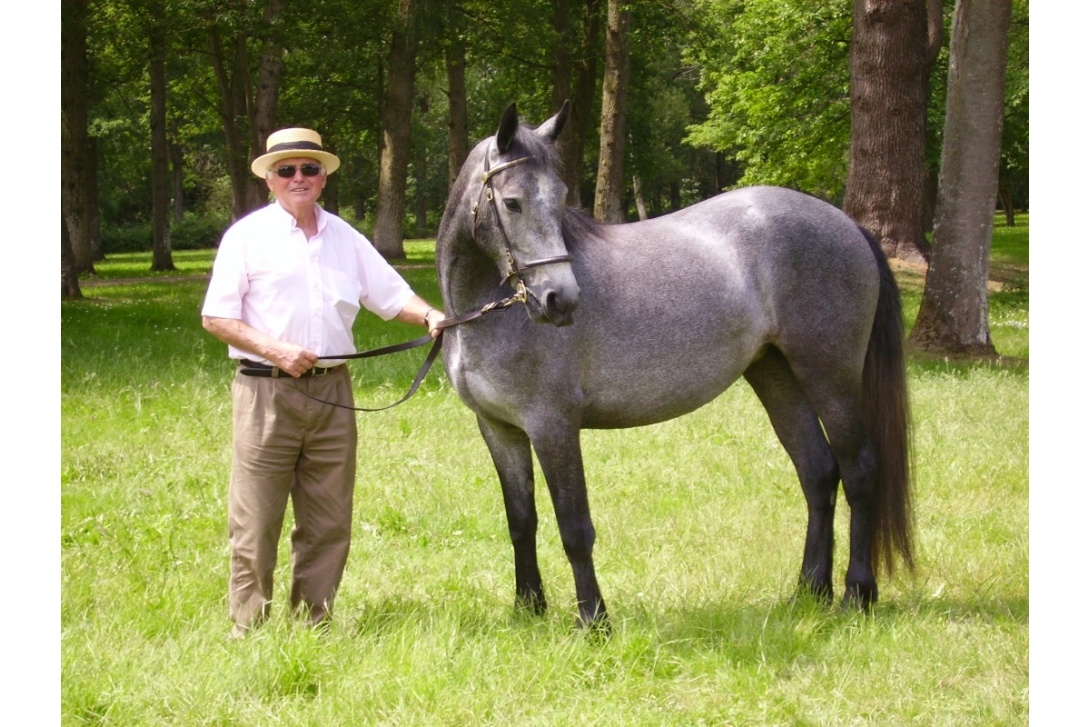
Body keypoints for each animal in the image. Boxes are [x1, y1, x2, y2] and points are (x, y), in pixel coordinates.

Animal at [433, 103, 911, 632]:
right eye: (513, 202)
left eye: (558, 200)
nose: (561, 300)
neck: (489, 311)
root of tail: (847, 224)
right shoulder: (500, 429)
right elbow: (521, 520)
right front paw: (528, 610)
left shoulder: (553, 426)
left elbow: (574, 526)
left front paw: (594, 622)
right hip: (776, 375)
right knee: (819, 472)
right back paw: (809, 592)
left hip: (830, 376)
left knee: (859, 470)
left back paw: (856, 595)